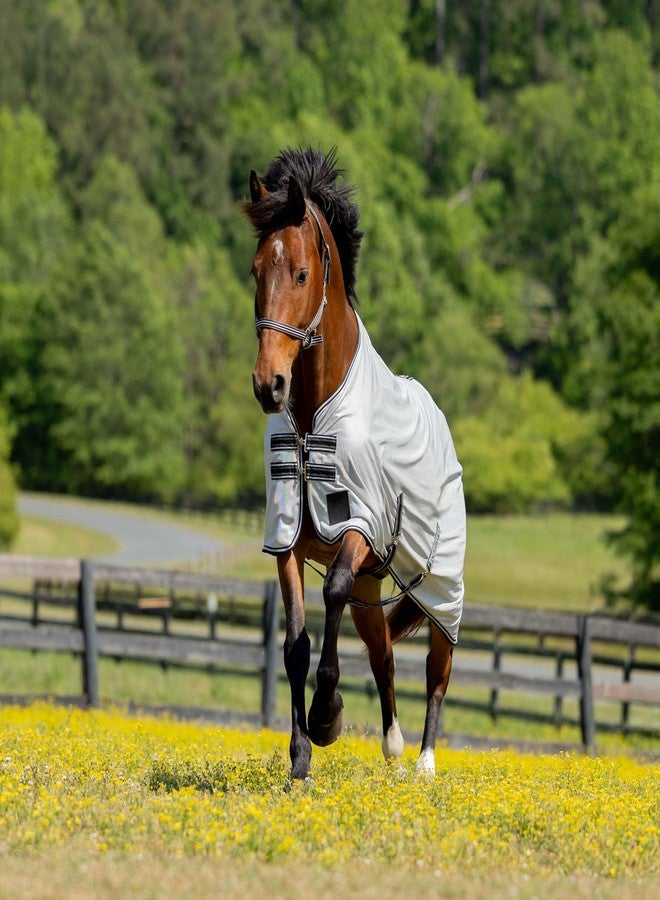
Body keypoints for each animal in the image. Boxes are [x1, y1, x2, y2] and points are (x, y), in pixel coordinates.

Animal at [243, 147, 466, 781]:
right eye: (255, 270)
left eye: (300, 273)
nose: (269, 384)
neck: (313, 416)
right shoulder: (286, 540)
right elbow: (295, 646)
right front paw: (299, 759)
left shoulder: (360, 528)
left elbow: (333, 595)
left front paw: (327, 716)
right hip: (378, 586)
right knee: (385, 657)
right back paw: (392, 752)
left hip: (441, 588)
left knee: (437, 669)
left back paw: (425, 764)